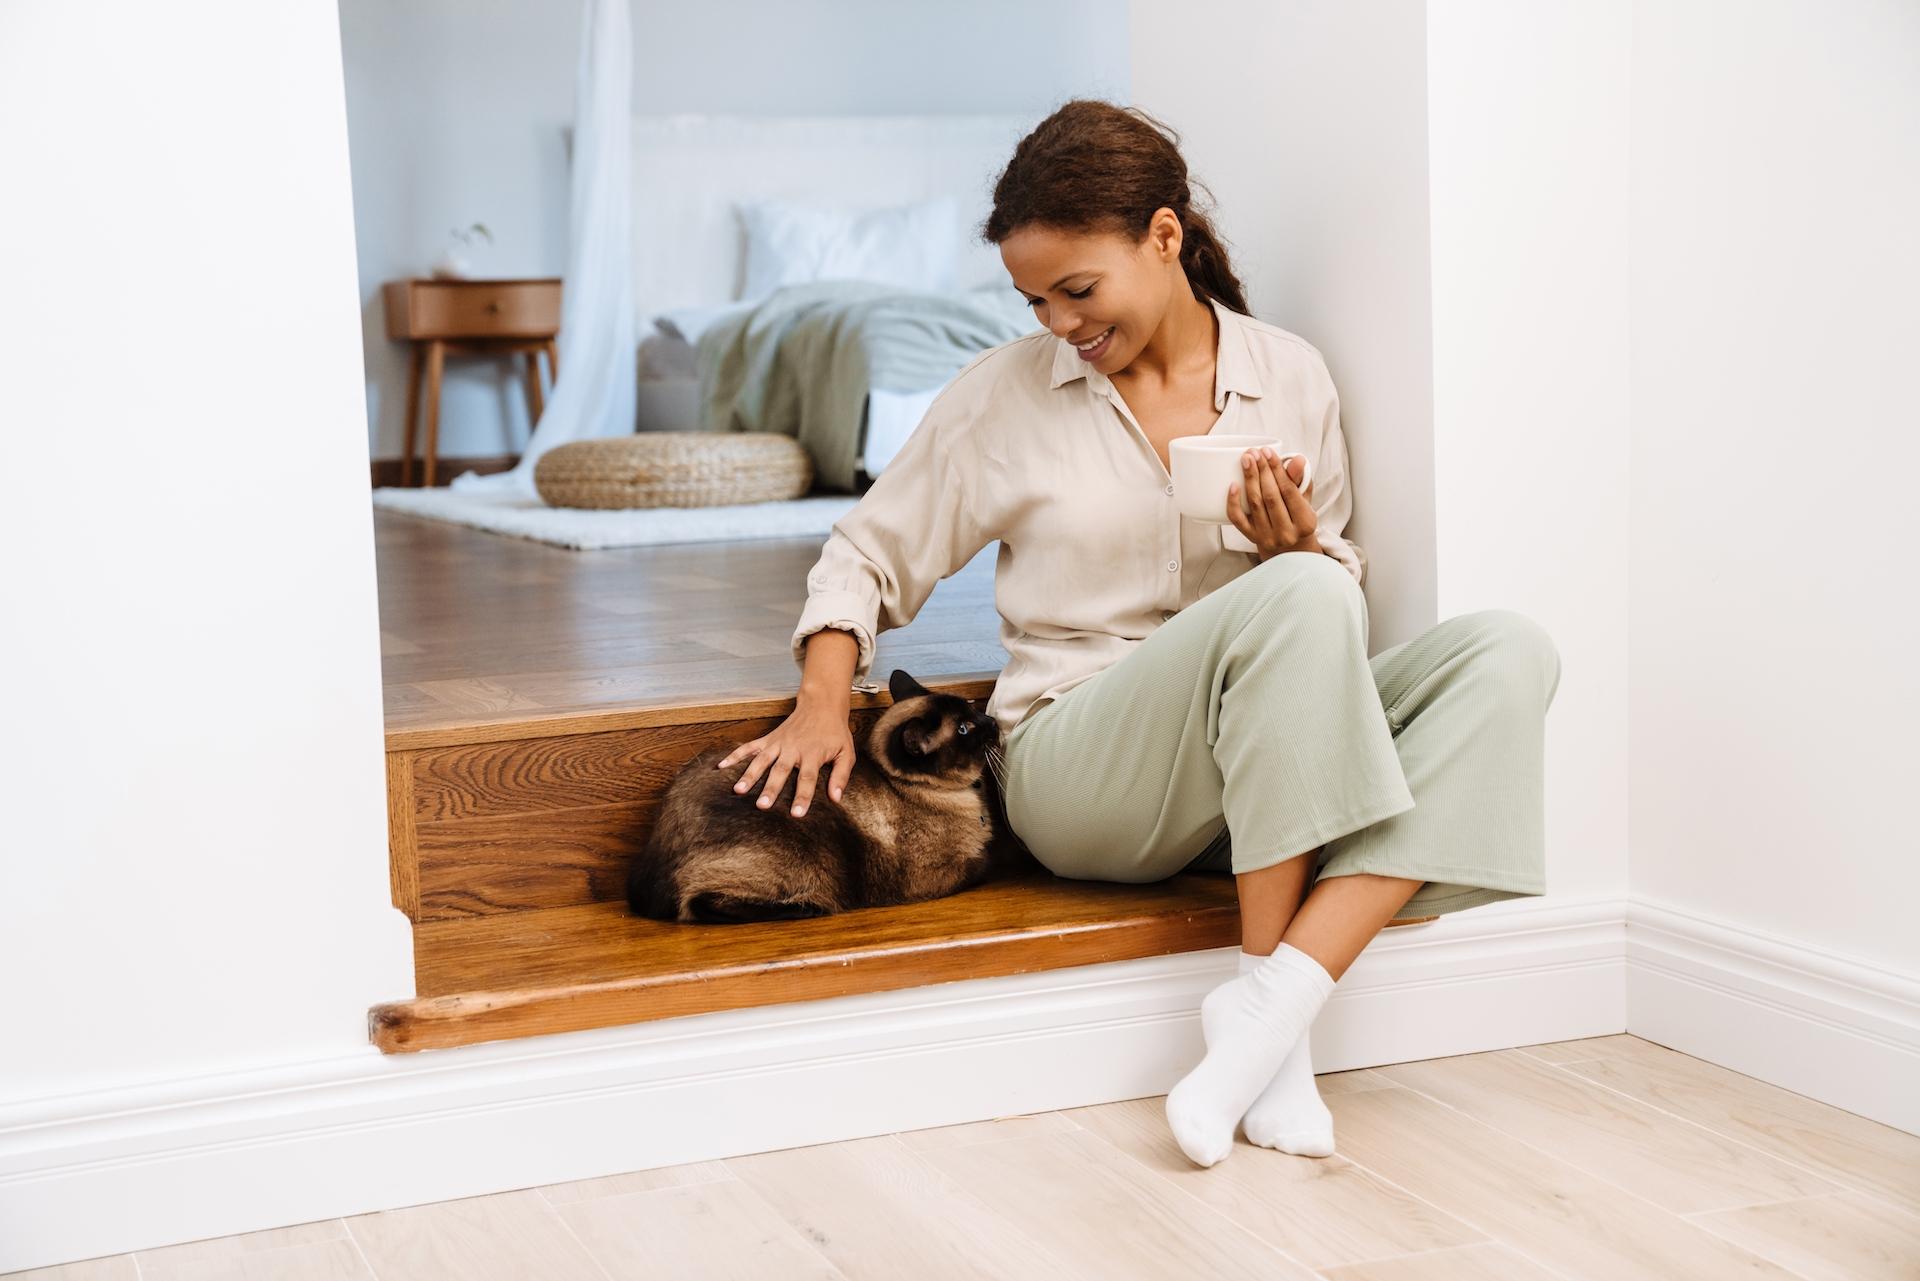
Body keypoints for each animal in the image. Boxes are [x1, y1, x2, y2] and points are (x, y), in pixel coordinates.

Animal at [629, 668, 1029, 925]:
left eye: (973, 711)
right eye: (965, 728)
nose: (993, 721)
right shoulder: (945, 873)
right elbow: (986, 862)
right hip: (811, 855)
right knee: (697, 903)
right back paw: (806, 909)